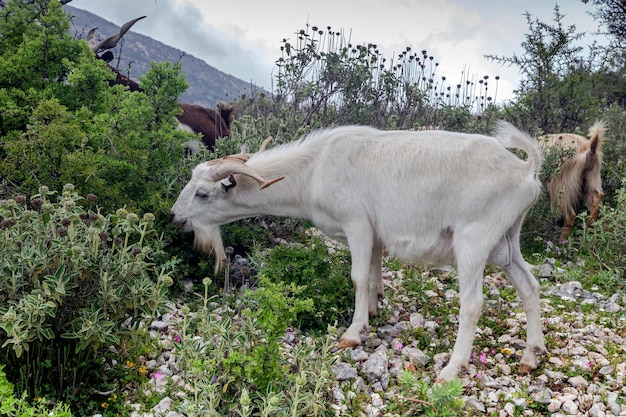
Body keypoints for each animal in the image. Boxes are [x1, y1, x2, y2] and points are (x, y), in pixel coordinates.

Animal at [168, 121, 544, 380]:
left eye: (202, 193)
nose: (175, 217)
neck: (314, 169)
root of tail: (525, 171)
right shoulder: (375, 234)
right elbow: (375, 272)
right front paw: (376, 309)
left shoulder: (357, 225)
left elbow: (358, 277)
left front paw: (353, 333)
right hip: (506, 242)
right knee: (530, 286)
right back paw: (530, 355)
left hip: (473, 240)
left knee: (472, 304)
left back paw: (451, 370)